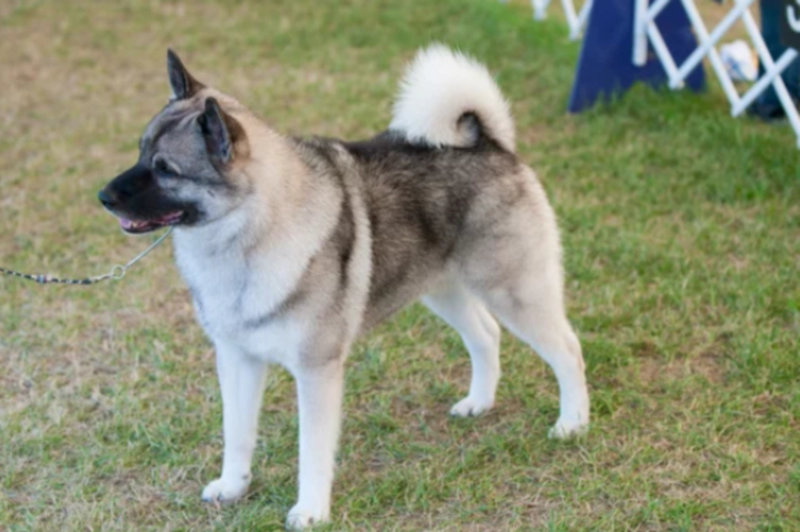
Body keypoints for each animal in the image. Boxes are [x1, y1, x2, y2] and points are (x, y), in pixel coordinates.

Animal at [97, 44, 592, 528]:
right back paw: (479, 403)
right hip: (442, 289)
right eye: (140, 152)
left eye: (166, 170)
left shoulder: (316, 371)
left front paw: (311, 510)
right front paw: (233, 486)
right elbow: (236, 433)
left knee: (568, 349)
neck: (250, 233)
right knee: (486, 335)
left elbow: (312, 452)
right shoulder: (237, 360)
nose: (103, 197)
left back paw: (573, 423)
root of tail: (489, 142)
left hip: (514, 290)